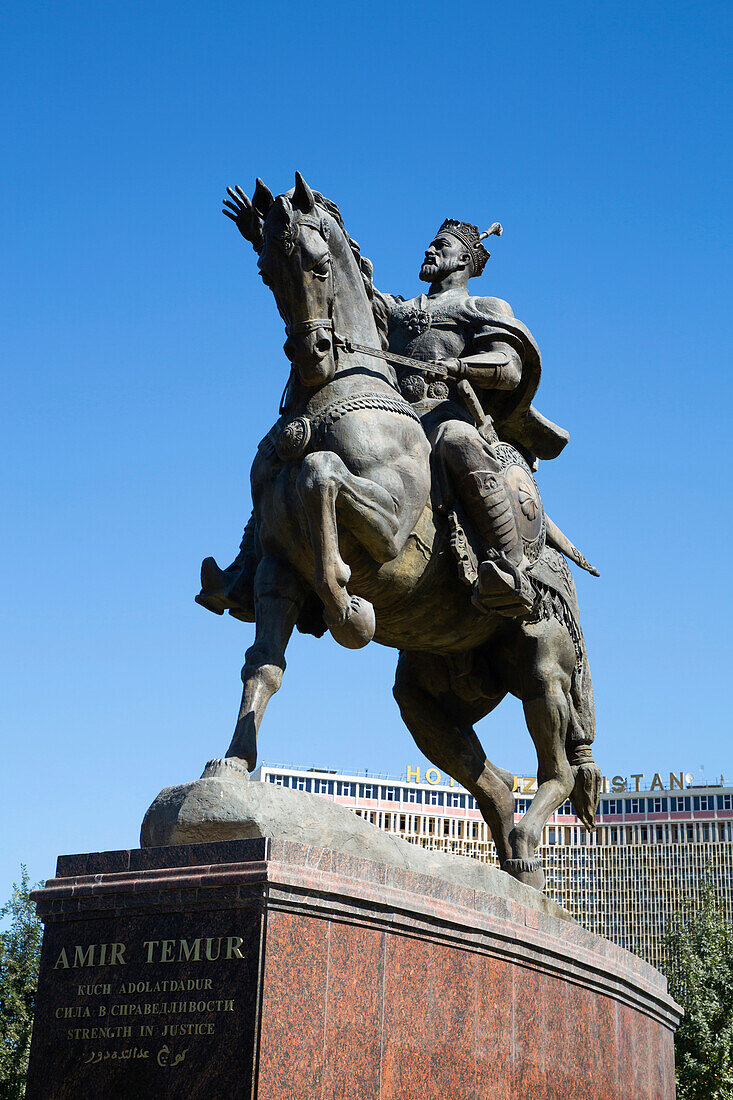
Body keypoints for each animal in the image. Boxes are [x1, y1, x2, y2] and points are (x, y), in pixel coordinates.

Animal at [201, 173, 598, 893]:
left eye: (319, 265)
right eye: (267, 270)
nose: (311, 353)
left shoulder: (387, 538)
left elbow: (323, 478)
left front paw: (345, 606)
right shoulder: (276, 570)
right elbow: (262, 666)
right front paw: (231, 767)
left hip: (541, 664)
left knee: (555, 769)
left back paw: (528, 849)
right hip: (431, 690)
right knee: (493, 781)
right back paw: (508, 874)